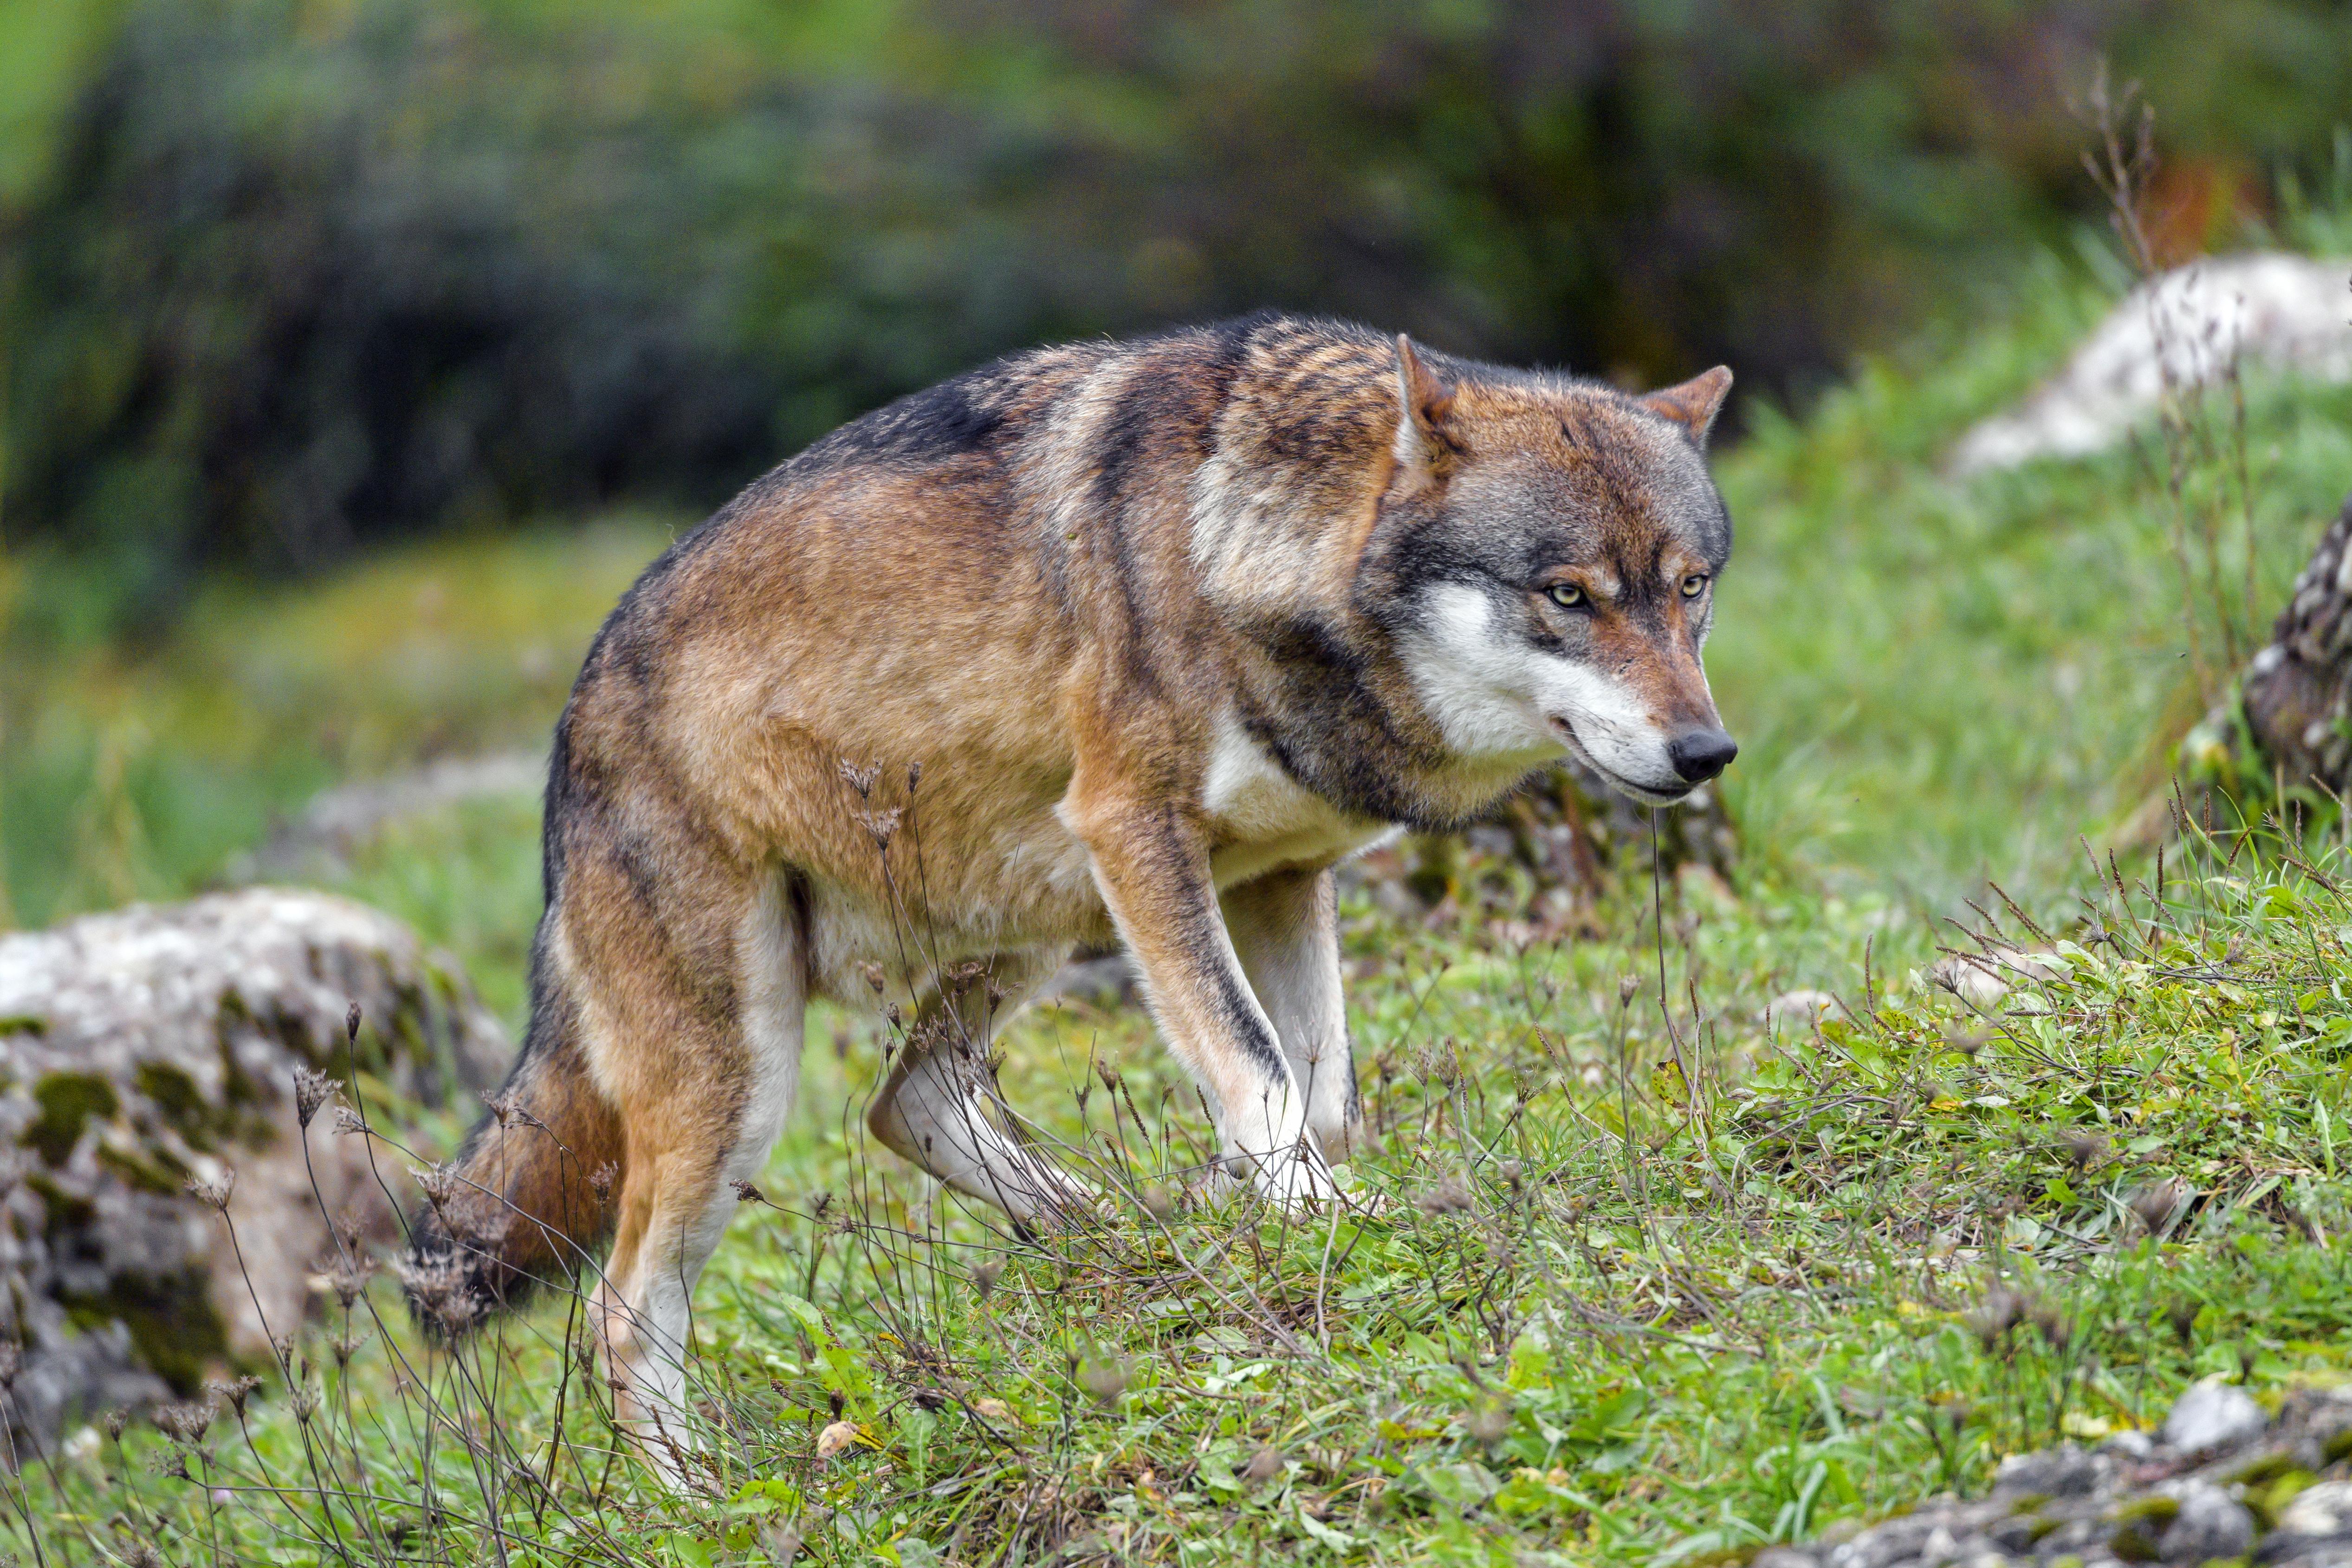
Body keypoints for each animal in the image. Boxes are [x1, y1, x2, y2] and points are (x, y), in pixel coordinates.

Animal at [400, 312, 1736, 1454]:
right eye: (1567, 595)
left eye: (1687, 589)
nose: (1705, 754)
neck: (1237, 548)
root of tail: (571, 723)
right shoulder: (1138, 833)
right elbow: (1256, 1069)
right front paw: (1321, 1228)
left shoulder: (1279, 877)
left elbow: (1321, 1100)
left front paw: (1286, 1212)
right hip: (749, 1075)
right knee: (622, 1315)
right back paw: (702, 1503)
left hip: (1044, 916)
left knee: (908, 1100)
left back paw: (1102, 1228)